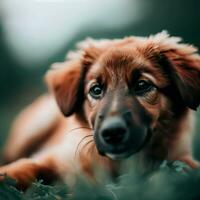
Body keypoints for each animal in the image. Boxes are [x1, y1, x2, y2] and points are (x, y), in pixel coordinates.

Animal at [0, 31, 200, 189]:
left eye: (142, 85)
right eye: (96, 90)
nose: (112, 133)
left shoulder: (180, 157)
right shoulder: (59, 158)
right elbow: (21, 168)